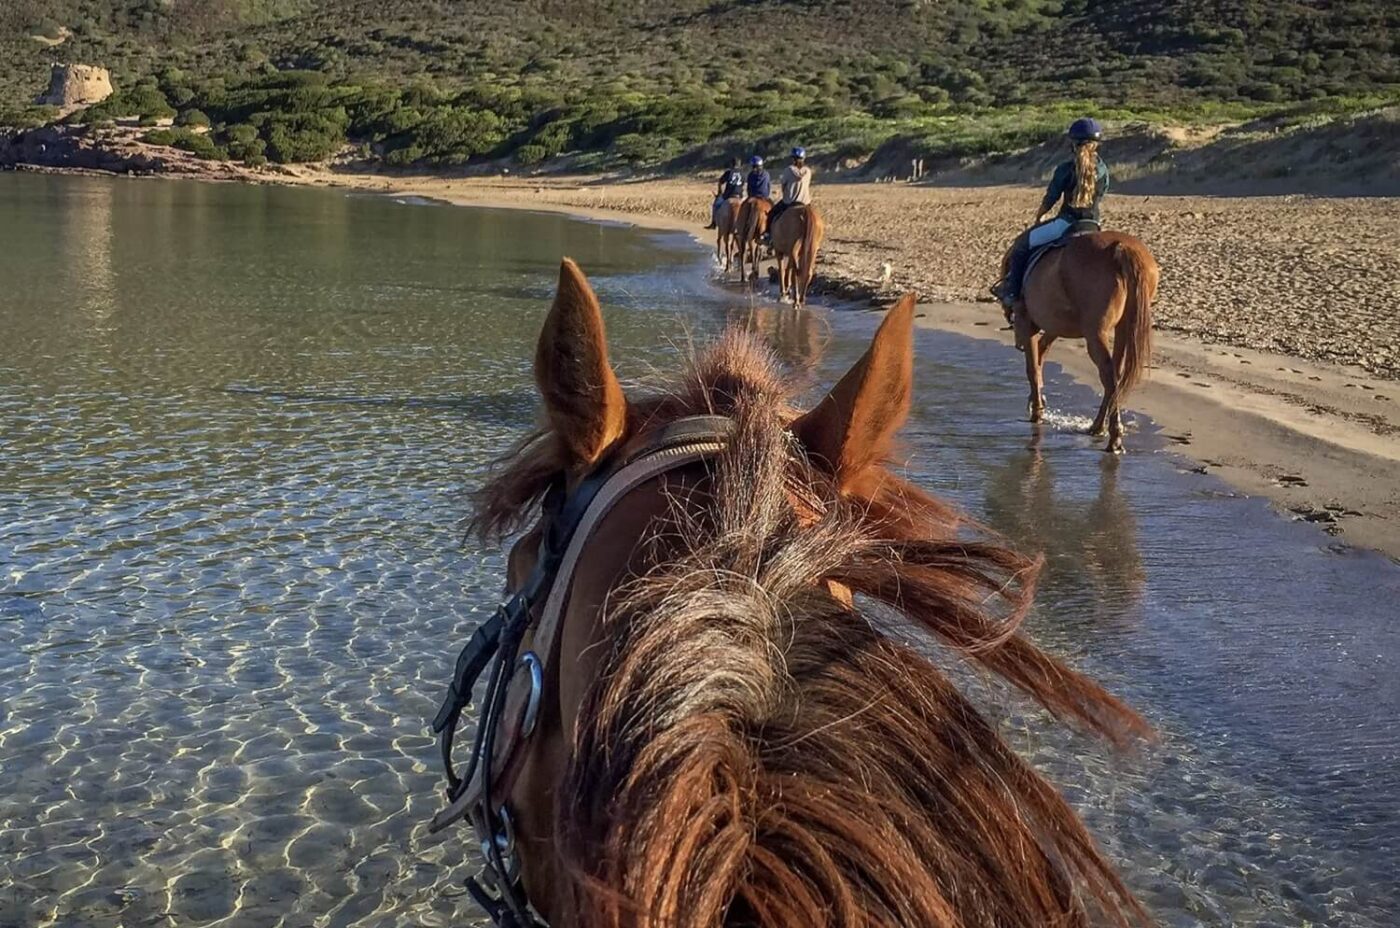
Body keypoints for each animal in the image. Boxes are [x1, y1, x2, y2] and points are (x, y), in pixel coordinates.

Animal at [1001, 232, 1159, 453]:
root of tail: (1121, 248)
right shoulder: (1053, 327)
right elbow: (1040, 357)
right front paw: (1037, 402)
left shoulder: (1027, 324)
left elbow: (1032, 368)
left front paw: (1036, 413)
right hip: (1124, 326)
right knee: (1115, 375)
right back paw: (1098, 427)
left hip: (1095, 334)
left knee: (1109, 376)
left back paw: (1113, 437)